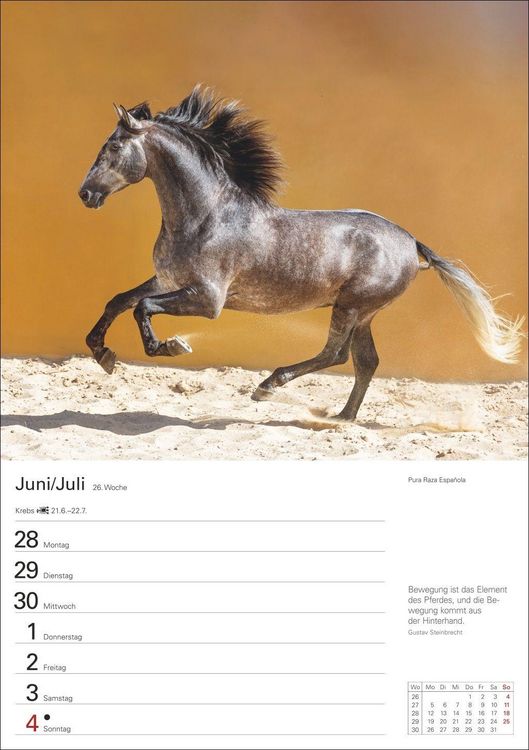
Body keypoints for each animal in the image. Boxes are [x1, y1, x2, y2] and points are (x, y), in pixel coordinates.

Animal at [79, 86, 524, 421]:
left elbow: (143, 308)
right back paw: (342, 418)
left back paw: (267, 387)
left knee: (336, 353)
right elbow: (119, 300)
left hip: (352, 306)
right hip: (364, 313)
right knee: (366, 361)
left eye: (113, 146)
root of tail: (412, 242)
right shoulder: (167, 279)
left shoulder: (208, 299)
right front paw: (103, 354)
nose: (85, 194)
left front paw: (171, 347)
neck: (206, 215)